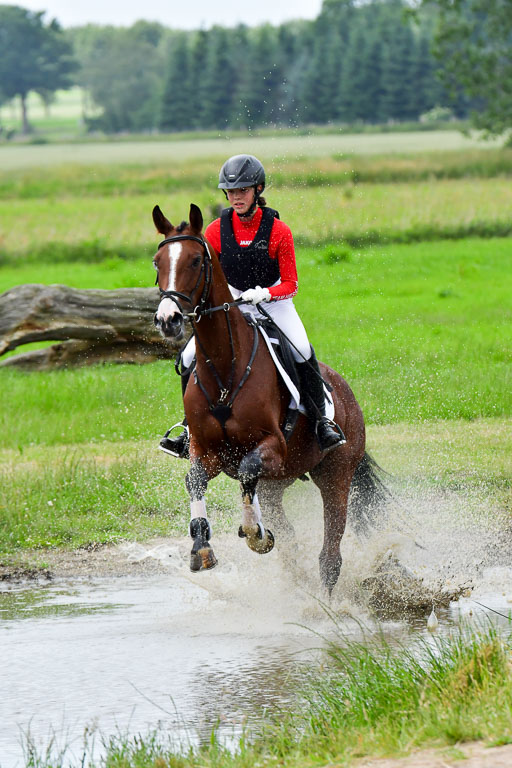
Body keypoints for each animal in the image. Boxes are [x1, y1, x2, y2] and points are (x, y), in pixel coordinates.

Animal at [152, 203, 384, 595]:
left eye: (196, 260)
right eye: (157, 262)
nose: (168, 319)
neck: (226, 369)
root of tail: (347, 394)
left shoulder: (271, 446)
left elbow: (247, 471)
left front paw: (254, 534)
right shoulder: (206, 450)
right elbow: (195, 479)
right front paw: (202, 548)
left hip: (336, 475)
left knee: (330, 555)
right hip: (281, 480)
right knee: (289, 540)